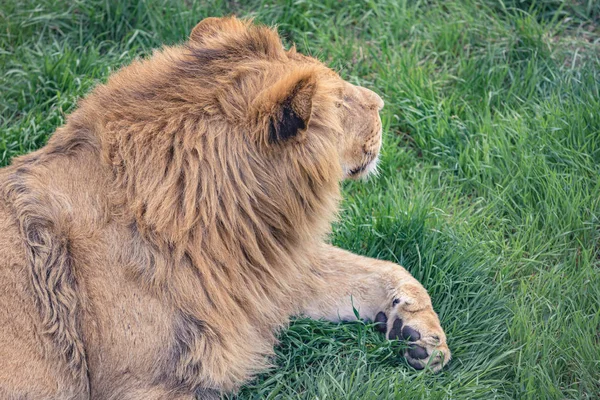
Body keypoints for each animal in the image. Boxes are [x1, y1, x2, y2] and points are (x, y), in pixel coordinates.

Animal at [0, 17, 450, 400]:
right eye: (341, 100)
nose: (381, 103)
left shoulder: (261, 280)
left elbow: (383, 268)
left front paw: (417, 331)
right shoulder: (142, 385)